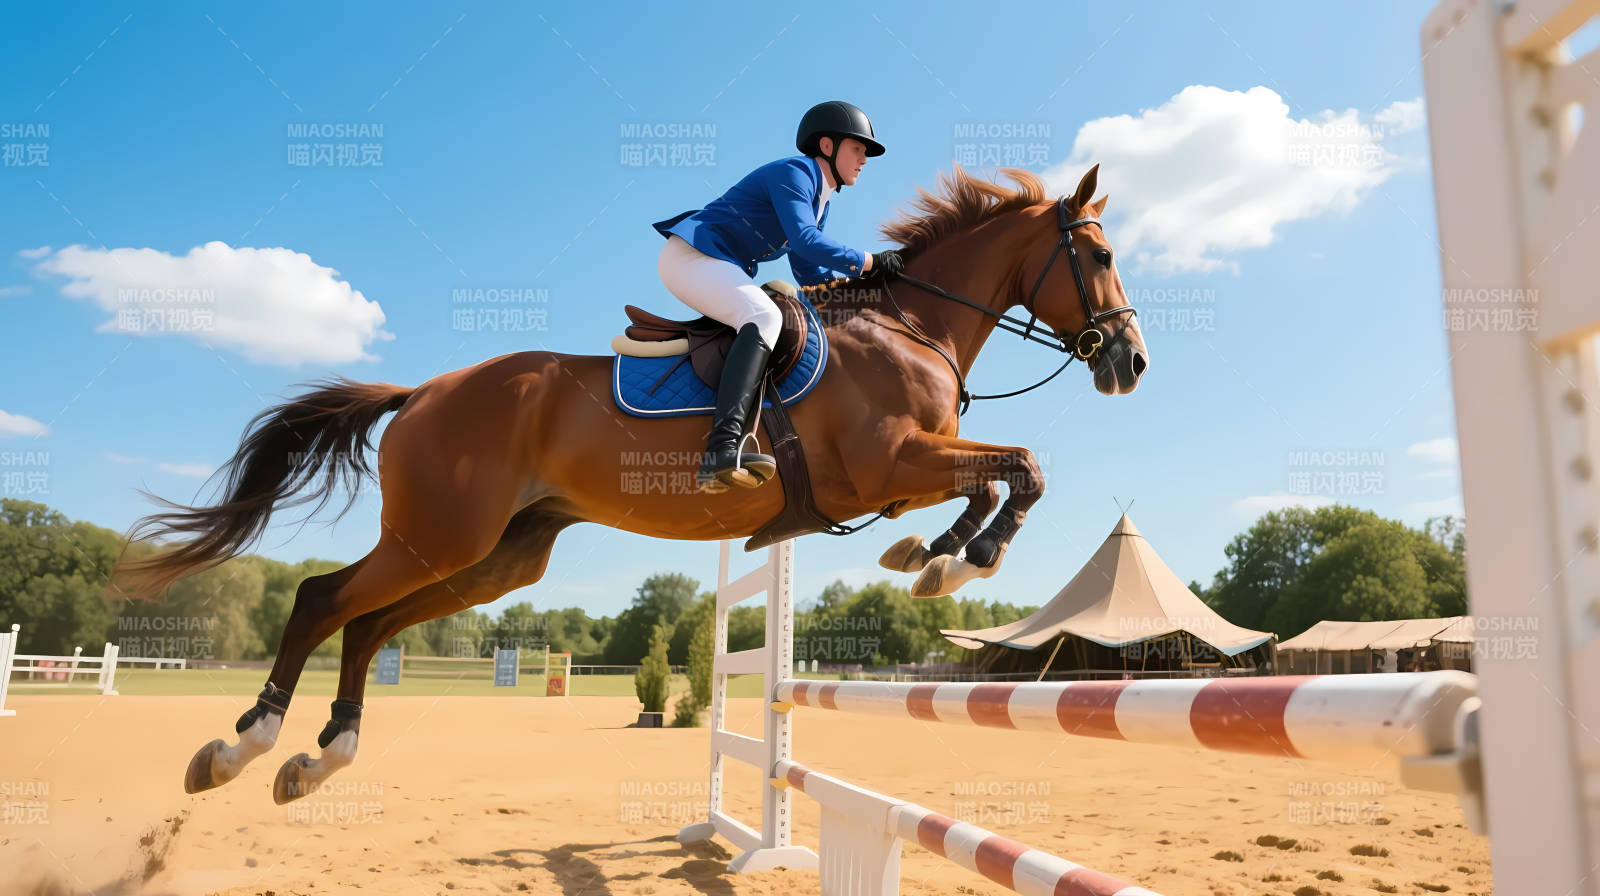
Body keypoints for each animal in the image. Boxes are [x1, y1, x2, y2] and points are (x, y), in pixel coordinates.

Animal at [114, 164, 1147, 803]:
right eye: (1097, 256)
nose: (1130, 362)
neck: (911, 324)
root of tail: (422, 393)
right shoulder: (890, 462)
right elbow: (1023, 467)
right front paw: (959, 558)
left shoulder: (907, 471)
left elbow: (997, 477)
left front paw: (936, 557)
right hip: (441, 536)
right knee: (322, 599)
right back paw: (240, 747)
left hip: (497, 558)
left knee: (367, 626)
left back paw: (321, 758)